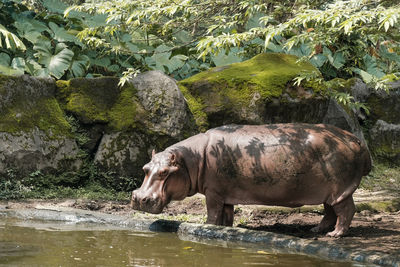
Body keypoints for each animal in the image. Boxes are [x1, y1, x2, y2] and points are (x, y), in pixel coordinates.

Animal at [132, 124, 372, 238]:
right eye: (145, 168)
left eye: (165, 172)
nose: (139, 198)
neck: (191, 159)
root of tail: (356, 140)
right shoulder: (225, 192)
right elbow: (226, 215)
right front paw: (224, 229)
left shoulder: (213, 193)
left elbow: (212, 213)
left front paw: (207, 226)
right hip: (327, 190)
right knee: (329, 211)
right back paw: (316, 230)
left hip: (339, 189)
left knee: (346, 210)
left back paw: (335, 235)